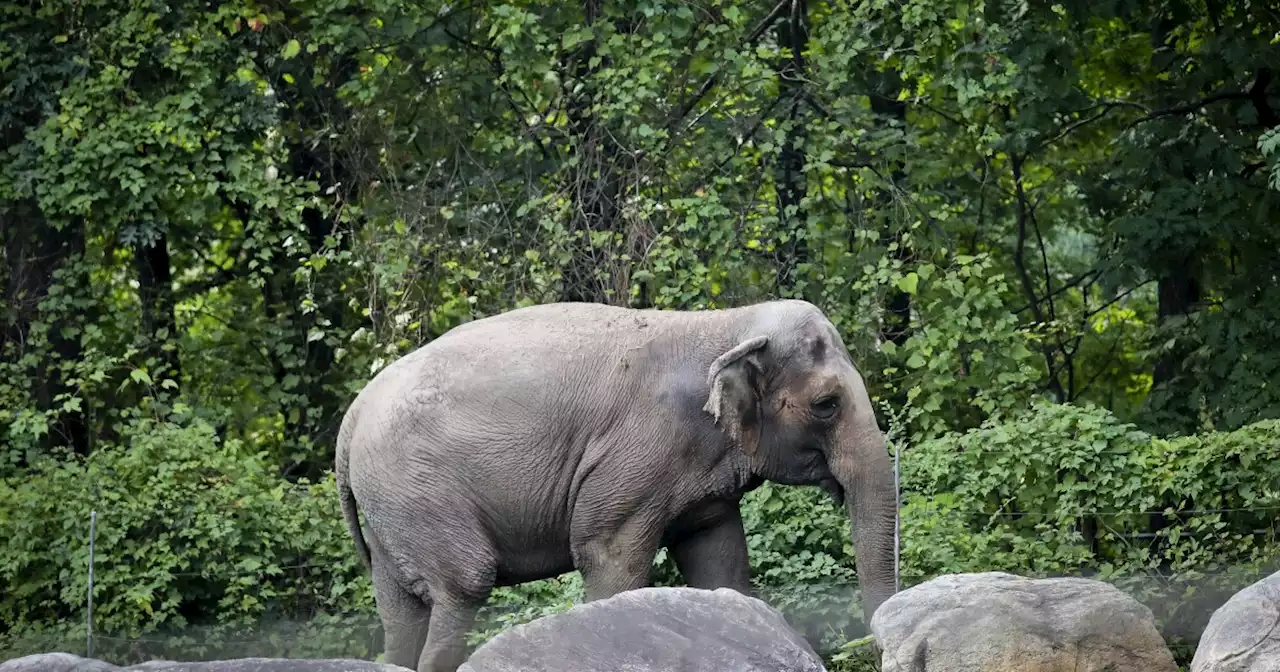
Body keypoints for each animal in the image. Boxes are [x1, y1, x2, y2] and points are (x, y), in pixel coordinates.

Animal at [335, 298, 896, 670]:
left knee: (400, 611)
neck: (724, 323)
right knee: (462, 587)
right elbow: (609, 558)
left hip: (392, 510)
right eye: (826, 405)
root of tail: (351, 417)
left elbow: (720, 560)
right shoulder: (634, 457)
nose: (866, 649)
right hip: (419, 493)